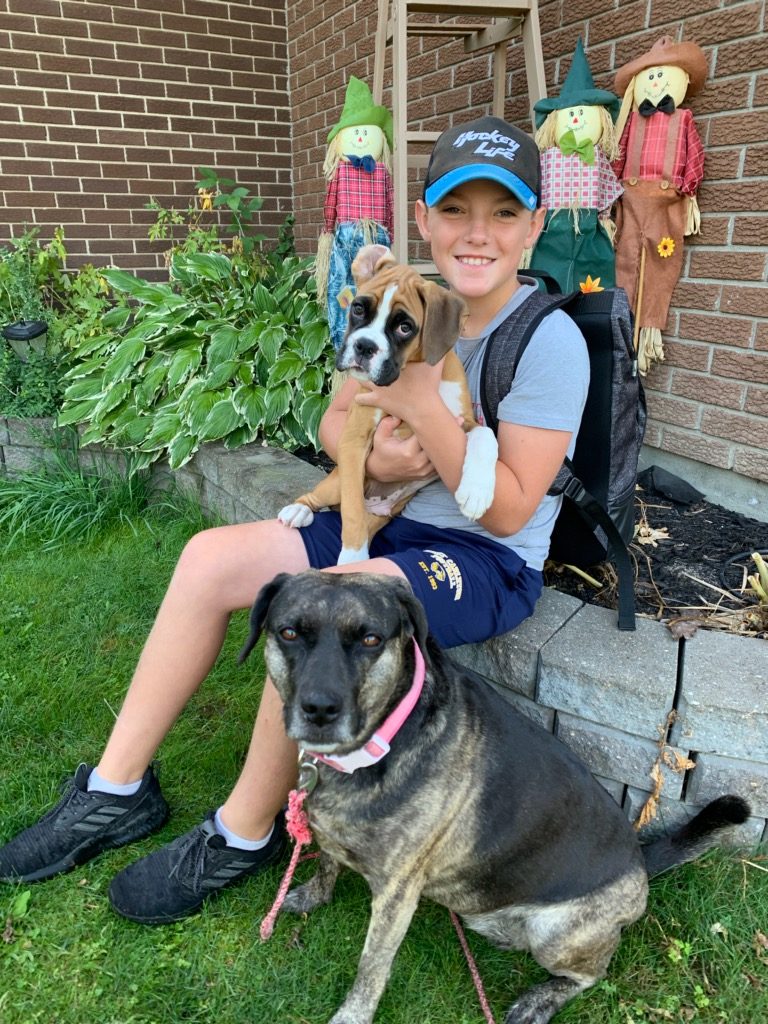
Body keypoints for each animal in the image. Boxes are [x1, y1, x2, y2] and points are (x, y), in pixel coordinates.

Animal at [240, 573, 753, 1019]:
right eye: (288, 632)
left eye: (369, 639)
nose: (319, 709)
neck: (381, 743)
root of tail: (641, 863)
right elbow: (327, 861)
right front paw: (313, 894)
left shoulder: (395, 895)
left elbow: (372, 965)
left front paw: (353, 1015)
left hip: (556, 932)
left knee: (592, 974)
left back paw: (541, 999)